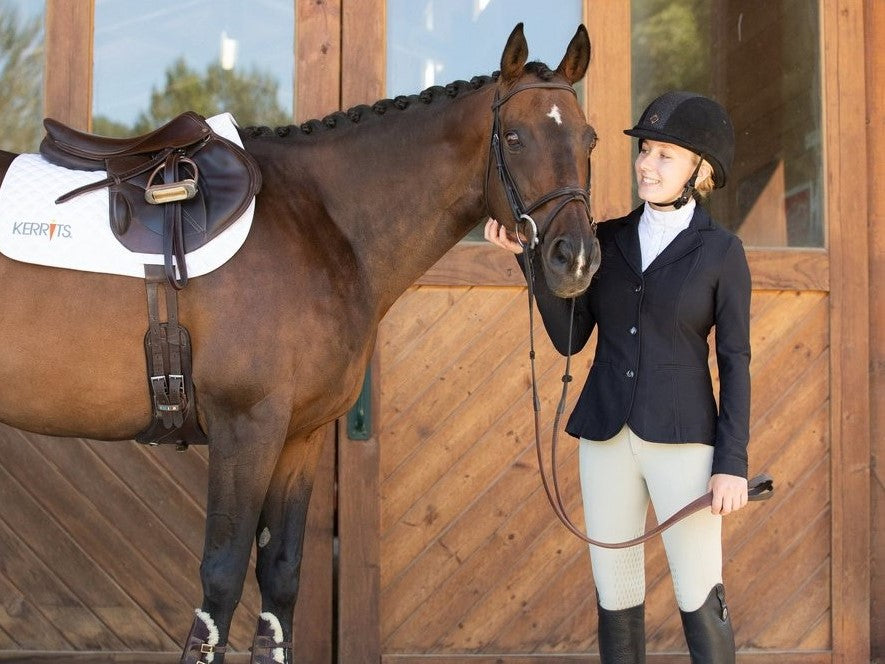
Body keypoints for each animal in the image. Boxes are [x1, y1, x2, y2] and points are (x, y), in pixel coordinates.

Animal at [0, 23, 599, 663]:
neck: (323, 223)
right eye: (513, 137)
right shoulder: (245, 429)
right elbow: (220, 583)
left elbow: (281, 579)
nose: (575, 258)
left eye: (588, 139)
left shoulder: (298, 438)